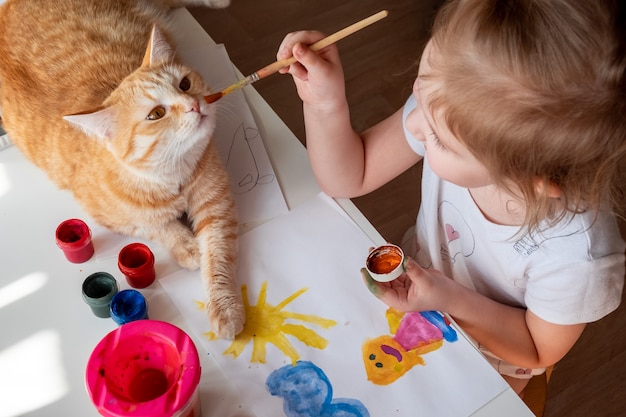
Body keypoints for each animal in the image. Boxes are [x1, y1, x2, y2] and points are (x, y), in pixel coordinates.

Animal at [0, 0, 244, 338]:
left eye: (184, 84)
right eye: (156, 114)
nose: (194, 105)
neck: (170, 174)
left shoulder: (215, 206)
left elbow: (217, 258)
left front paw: (225, 309)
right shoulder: (114, 218)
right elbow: (156, 224)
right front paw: (187, 246)